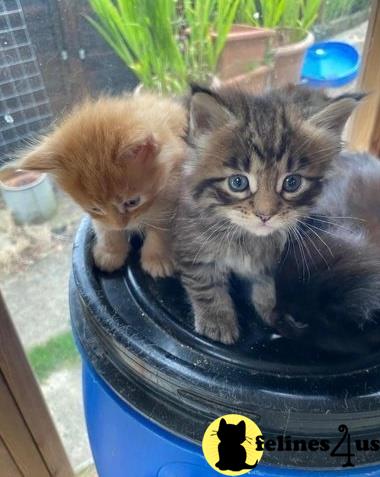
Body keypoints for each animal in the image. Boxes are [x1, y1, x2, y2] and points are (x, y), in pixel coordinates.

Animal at [20, 93, 187, 276]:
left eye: (132, 202)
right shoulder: (101, 218)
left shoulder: (171, 203)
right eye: (95, 208)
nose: (121, 225)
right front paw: (110, 254)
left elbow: (160, 233)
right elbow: (106, 231)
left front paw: (157, 259)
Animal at [174, 82, 360, 342]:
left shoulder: (272, 260)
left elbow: (266, 284)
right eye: (238, 183)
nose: (265, 215)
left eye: (292, 183)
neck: (248, 239)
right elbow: (205, 284)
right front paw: (217, 320)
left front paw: (272, 309)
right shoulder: (192, 243)